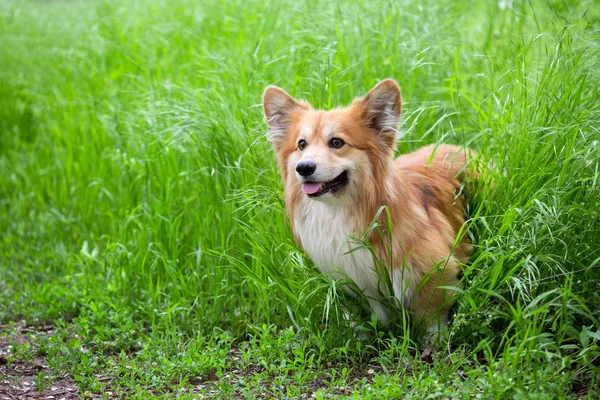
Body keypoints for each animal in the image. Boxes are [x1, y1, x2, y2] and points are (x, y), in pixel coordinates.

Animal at [260, 78, 476, 338]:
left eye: (337, 142)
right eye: (301, 144)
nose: (303, 168)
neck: (341, 212)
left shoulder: (433, 271)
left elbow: (431, 316)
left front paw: (435, 340)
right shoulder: (347, 279)